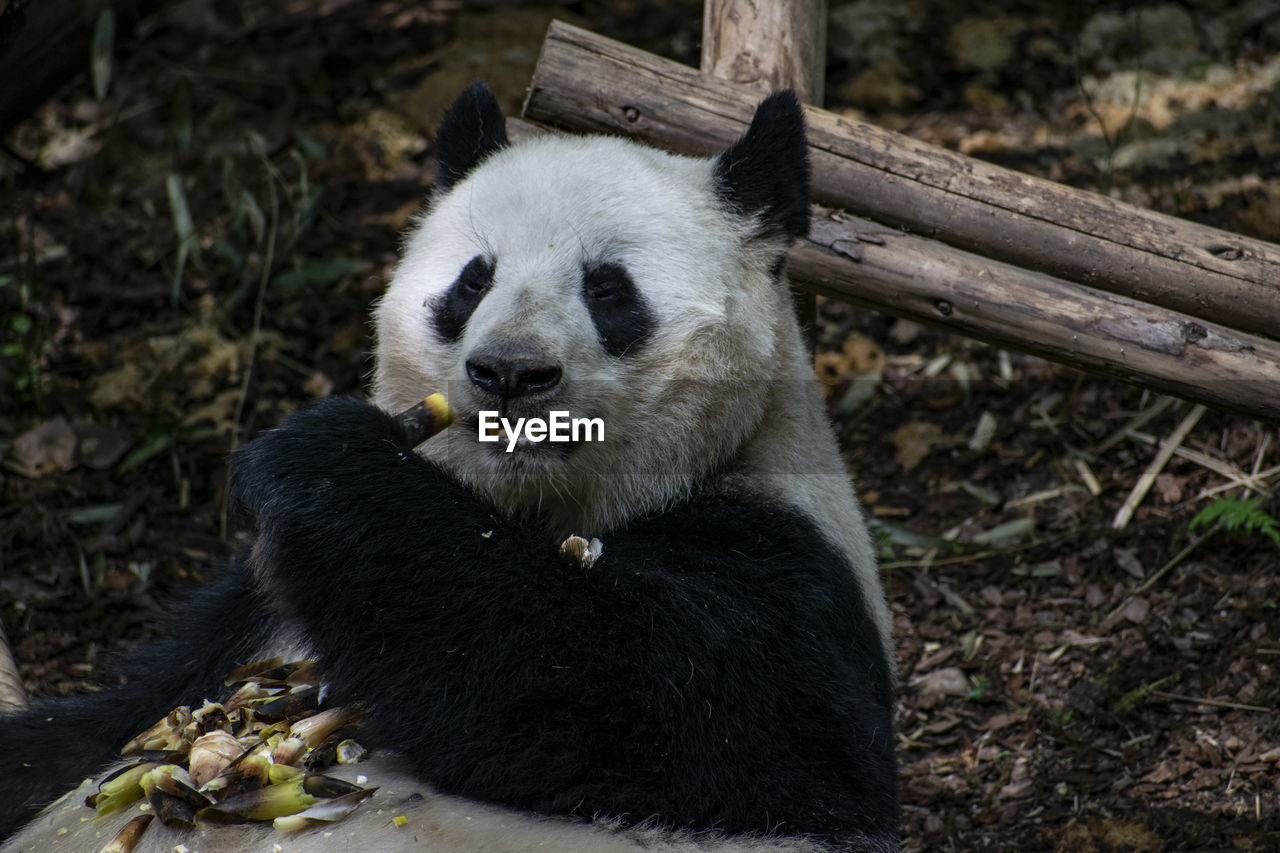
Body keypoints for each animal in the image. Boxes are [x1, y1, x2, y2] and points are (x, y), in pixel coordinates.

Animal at [0, 81, 901, 850]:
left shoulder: (792, 577)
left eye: (610, 288)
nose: (510, 372)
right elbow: (99, 727)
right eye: (473, 280)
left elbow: (617, 689)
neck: (538, 506)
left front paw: (325, 463)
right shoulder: (243, 615)